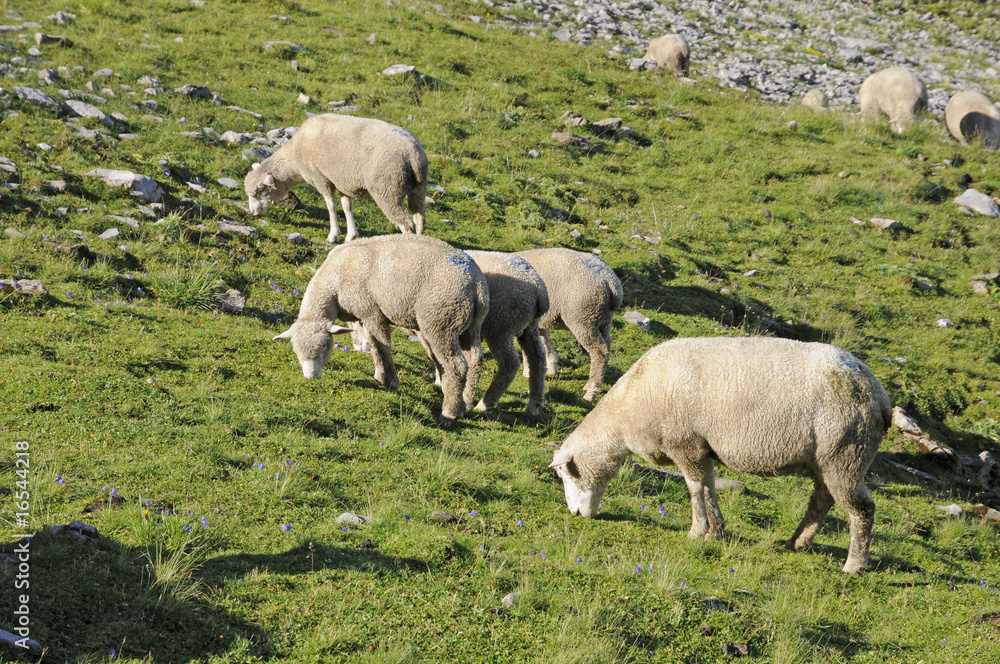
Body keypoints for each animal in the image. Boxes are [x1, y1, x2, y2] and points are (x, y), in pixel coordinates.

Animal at [244, 113, 428, 243]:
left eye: (259, 191)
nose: (252, 212)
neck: (295, 157)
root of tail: (412, 152)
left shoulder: (321, 178)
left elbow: (331, 206)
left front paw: (333, 235)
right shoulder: (342, 182)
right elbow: (347, 207)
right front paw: (351, 235)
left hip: (387, 189)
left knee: (407, 225)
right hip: (418, 189)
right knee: (419, 220)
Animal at [272, 234, 488, 427]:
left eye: (325, 346)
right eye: (295, 350)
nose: (311, 376)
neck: (334, 283)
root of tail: (476, 284)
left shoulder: (371, 312)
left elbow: (383, 347)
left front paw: (391, 383)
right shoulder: (363, 316)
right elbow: (374, 346)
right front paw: (379, 376)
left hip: (442, 322)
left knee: (456, 365)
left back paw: (448, 414)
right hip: (470, 325)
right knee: (475, 360)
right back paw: (464, 404)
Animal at [464, 250, 549, 416]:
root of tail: (539, 289)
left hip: (500, 326)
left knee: (510, 363)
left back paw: (485, 403)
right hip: (528, 326)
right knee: (538, 358)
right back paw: (534, 404)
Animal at [515, 248, 623, 403]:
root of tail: (610, 281)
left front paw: (528, 371)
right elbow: (544, 338)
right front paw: (551, 367)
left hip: (583, 317)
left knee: (599, 351)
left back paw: (592, 391)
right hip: (603, 319)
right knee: (607, 347)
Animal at [549, 337, 891, 574]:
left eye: (566, 475)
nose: (575, 514)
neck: (627, 414)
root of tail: (878, 393)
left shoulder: (685, 445)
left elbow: (694, 489)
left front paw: (697, 531)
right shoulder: (702, 448)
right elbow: (709, 487)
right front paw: (716, 530)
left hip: (846, 455)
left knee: (862, 510)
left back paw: (853, 565)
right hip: (827, 460)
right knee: (821, 500)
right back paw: (797, 542)